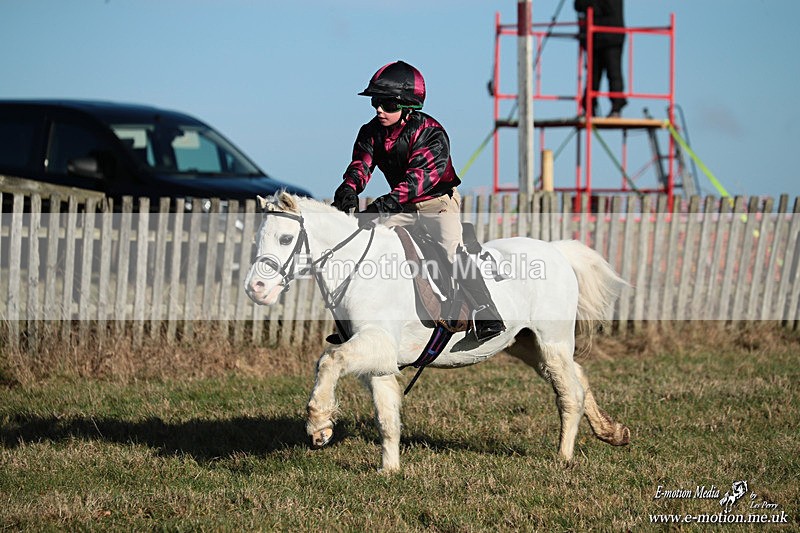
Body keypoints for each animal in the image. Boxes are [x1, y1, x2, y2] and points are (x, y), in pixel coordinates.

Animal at [245, 191, 630, 472]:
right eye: (256, 240)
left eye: (285, 238)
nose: (256, 289)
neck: (360, 265)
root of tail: (555, 250)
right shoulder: (379, 358)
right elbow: (386, 415)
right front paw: (390, 470)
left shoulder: (375, 342)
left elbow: (328, 360)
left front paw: (319, 426)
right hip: (527, 345)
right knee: (578, 377)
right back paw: (612, 432)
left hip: (552, 341)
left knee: (570, 394)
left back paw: (563, 457)